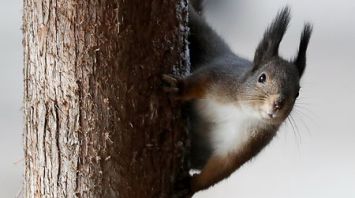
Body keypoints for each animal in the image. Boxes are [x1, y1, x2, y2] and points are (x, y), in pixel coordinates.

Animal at [163, 0, 312, 195]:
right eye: (262, 78)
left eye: (297, 93)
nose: (278, 104)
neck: (243, 111)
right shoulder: (221, 78)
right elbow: (199, 81)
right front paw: (179, 89)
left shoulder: (249, 142)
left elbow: (222, 166)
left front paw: (191, 186)